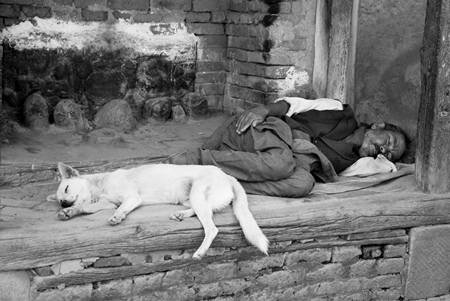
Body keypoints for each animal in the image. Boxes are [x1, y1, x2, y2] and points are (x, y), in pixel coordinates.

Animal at [47, 162, 268, 258]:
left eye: (66, 188)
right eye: (59, 200)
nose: (64, 204)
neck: (100, 185)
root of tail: (228, 175)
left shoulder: (131, 198)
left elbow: (118, 209)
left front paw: (118, 217)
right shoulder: (106, 203)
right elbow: (86, 207)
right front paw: (70, 213)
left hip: (197, 194)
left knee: (212, 228)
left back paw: (200, 252)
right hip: (190, 199)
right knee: (201, 212)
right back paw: (180, 215)